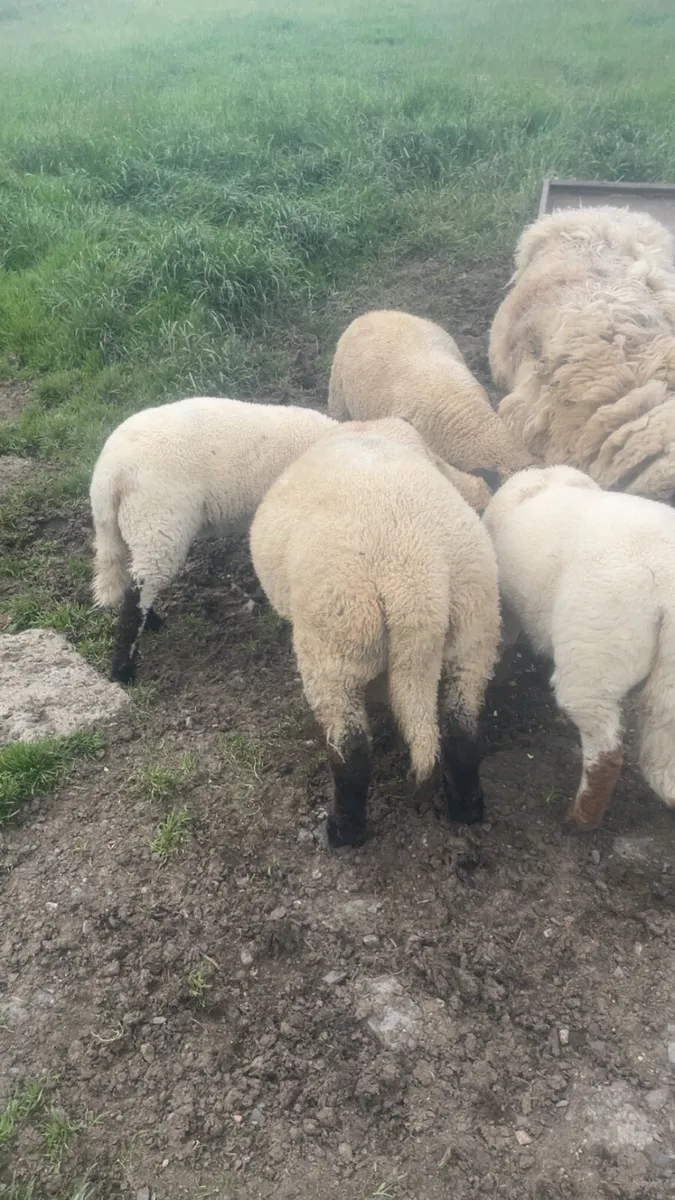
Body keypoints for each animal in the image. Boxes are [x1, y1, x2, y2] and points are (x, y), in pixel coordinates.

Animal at [90, 395, 336, 684]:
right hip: (157, 523)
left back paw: (151, 624)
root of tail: (110, 476)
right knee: (137, 593)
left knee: (132, 580)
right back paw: (123, 671)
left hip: (126, 529)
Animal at [249, 417, 501, 848]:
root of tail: (416, 584)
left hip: (337, 641)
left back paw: (344, 830)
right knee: (461, 729)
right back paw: (467, 807)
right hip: (474, 628)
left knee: (351, 750)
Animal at [483, 464, 675, 831]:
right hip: (665, 679)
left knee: (606, 755)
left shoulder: (504, 600)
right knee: (661, 749)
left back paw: (579, 821)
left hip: (594, 659)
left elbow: (504, 640)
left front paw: (497, 676)